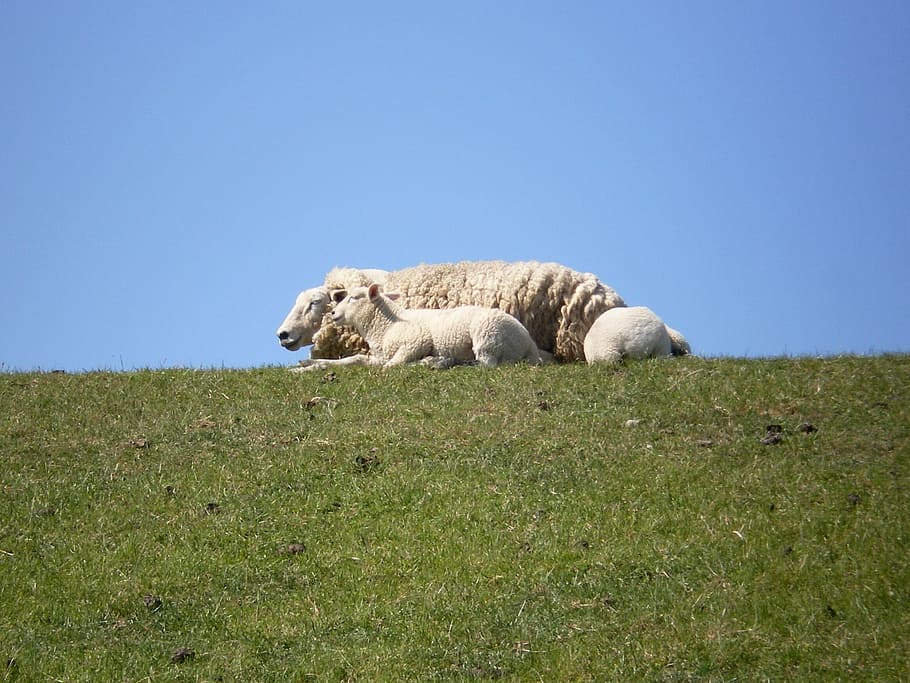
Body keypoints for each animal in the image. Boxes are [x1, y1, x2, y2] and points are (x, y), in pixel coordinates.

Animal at [294, 284, 542, 370]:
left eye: (354, 298)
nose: (333, 313)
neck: (385, 324)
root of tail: (530, 343)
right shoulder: (378, 355)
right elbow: (352, 360)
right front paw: (311, 364)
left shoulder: (416, 341)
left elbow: (391, 366)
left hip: (487, 335)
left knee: (486, 364)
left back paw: (443, 362)